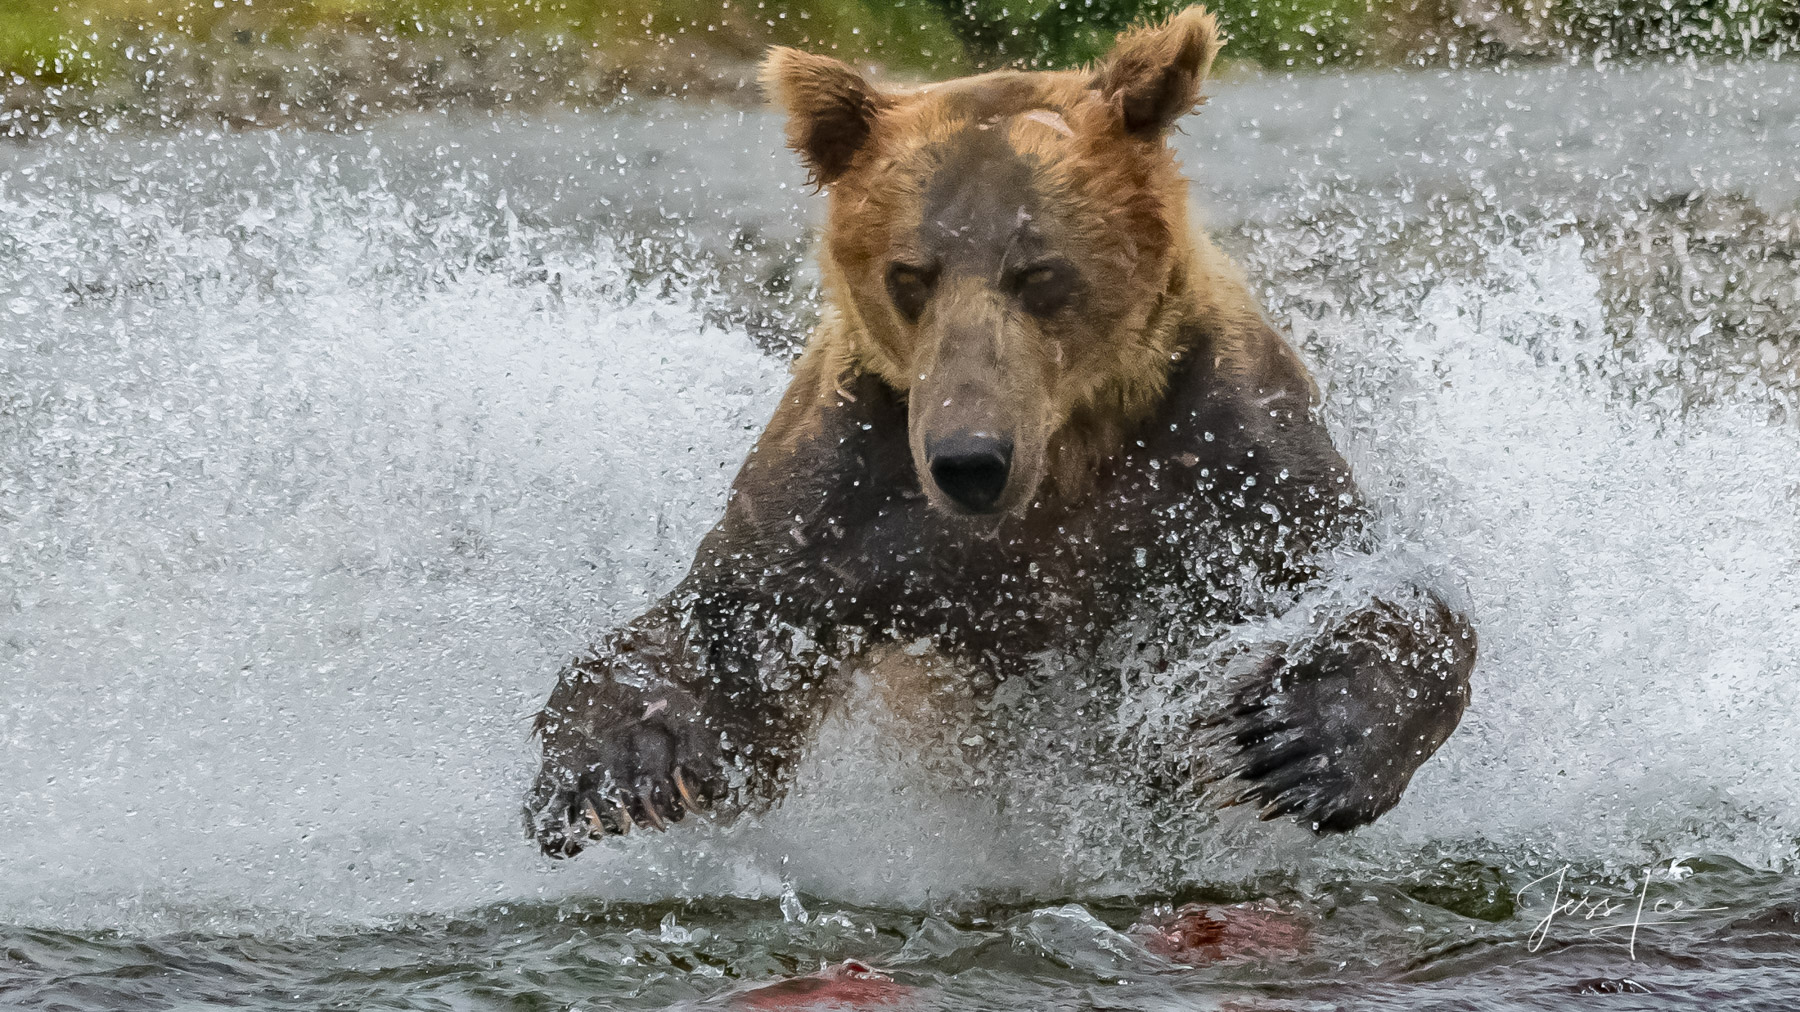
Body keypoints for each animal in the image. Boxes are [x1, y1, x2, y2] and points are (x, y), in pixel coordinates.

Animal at [525, 7, 1476, 853]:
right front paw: (613, 770)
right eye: (910, 272)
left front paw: (1303, 738)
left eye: (1039, 269)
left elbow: (1374, 581)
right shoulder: (846, 485)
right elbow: (727, 632)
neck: (1063, 453)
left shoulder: (1219, 452)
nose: (969, 460)